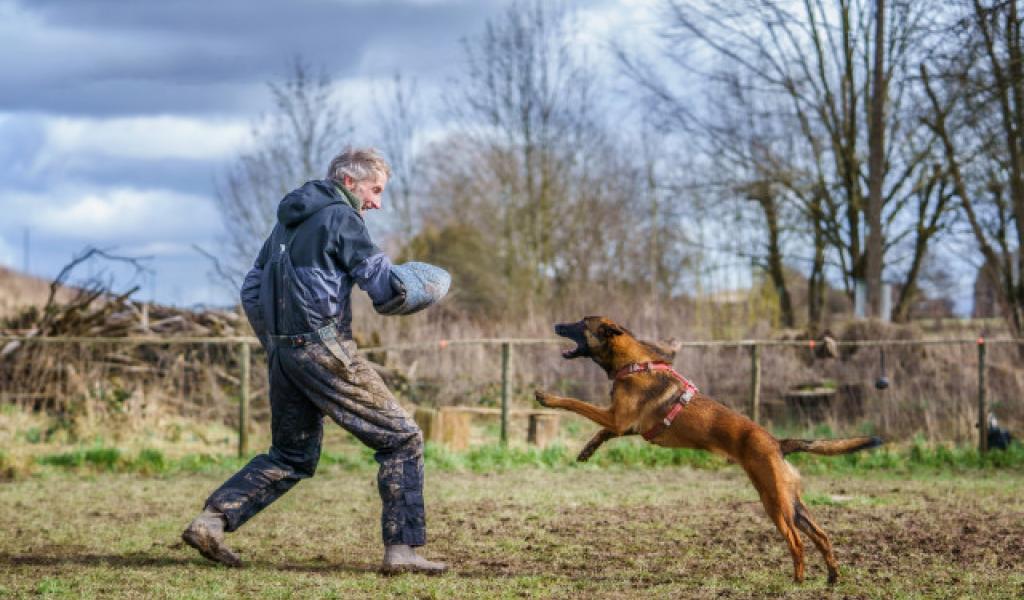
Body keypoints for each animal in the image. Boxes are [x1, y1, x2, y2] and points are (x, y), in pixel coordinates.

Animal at [532, 315, 884, 581]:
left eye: (581, 323)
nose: (556, 324)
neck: (633, 364)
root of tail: (777, 443)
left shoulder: (617, 419)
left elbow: (577, 404)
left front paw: (548, 398)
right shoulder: (622, 425)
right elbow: (601, 432)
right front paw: (586, 450)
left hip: (773, 501)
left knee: (797, 542)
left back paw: (798, 581)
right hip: (791, 501)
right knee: (821, 535)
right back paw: (832, 577)